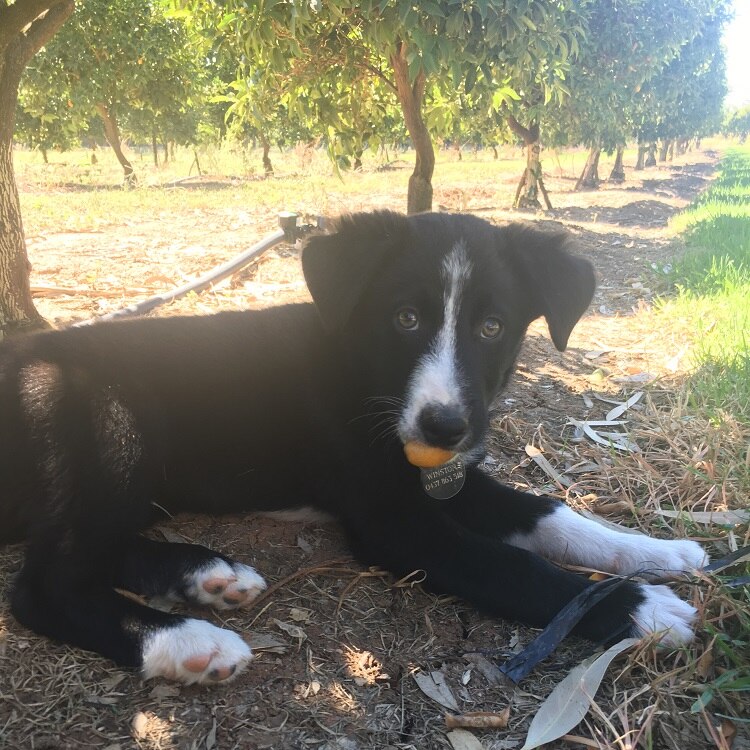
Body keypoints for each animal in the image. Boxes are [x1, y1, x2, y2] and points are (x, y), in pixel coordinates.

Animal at [0, 212, 704, 688]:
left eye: (492, 327)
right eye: (405, 319)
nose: (445, 427)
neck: (366, 375)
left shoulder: (450, 481)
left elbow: (552, 515)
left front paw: (660, 552)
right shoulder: (395, 522)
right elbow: (513, 567)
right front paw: (641, 609)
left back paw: (209, 576)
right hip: (107, 429)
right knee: (44, 585)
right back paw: (192, 642)